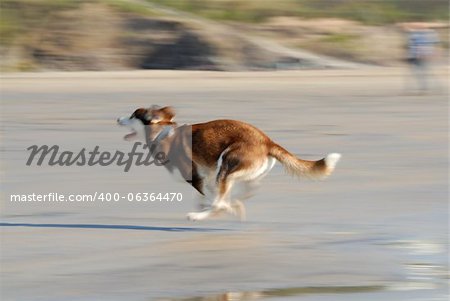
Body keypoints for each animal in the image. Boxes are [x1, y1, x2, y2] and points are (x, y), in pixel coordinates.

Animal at [117, 105, 342, 220]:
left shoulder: (196, 178)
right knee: (246, 191)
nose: (117, 119)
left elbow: (215, 200)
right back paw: (235, 205)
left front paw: (215, 209)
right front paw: (227, 206)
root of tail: (267, 141)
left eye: (133, 115)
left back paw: (201, 215)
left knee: (221, 200)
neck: (161, 132)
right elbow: (210, 197)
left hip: (226, 163)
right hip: (239, 173)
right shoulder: (207, 177)